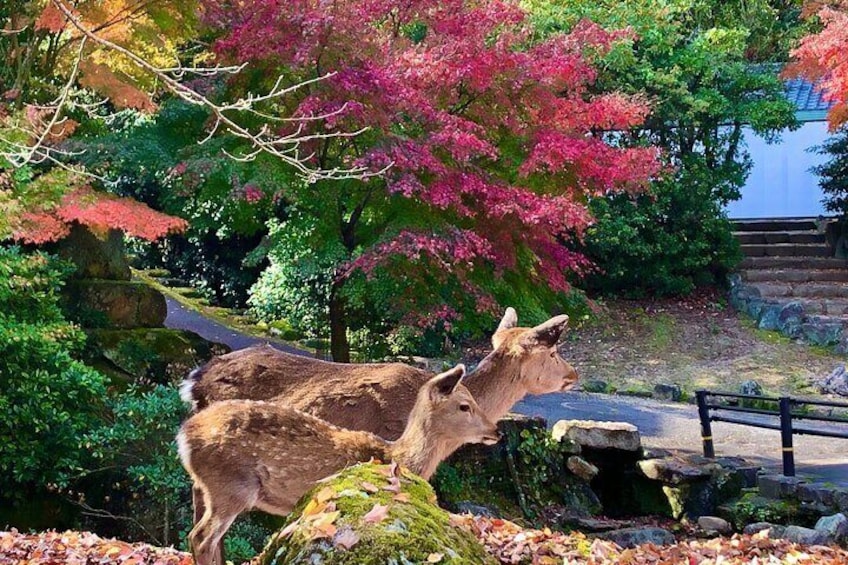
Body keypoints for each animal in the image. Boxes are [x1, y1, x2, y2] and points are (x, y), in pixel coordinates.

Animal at [178, 364, 496, 564]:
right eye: (465, 406)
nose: (497, 431)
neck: (396, 455)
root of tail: (184, 436)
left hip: (212, 486)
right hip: (232, 485)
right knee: (202, 537)